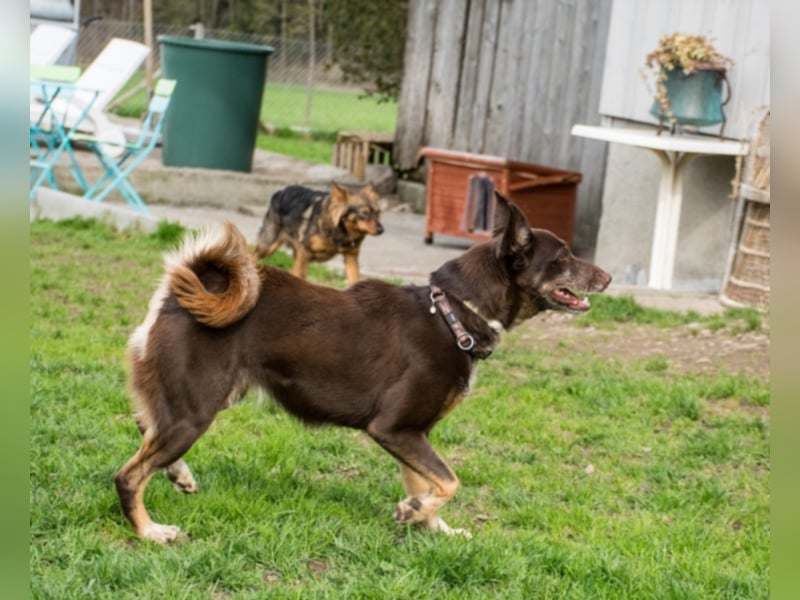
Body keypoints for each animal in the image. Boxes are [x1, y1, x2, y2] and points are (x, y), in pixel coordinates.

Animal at [255, 183, 384, 286]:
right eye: (364, 213)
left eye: (378, 212)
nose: (381, 230)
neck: (340, 230)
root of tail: (280, 192)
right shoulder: (304, 253)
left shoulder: (351, 257)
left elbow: (355, 279)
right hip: (267, 246)